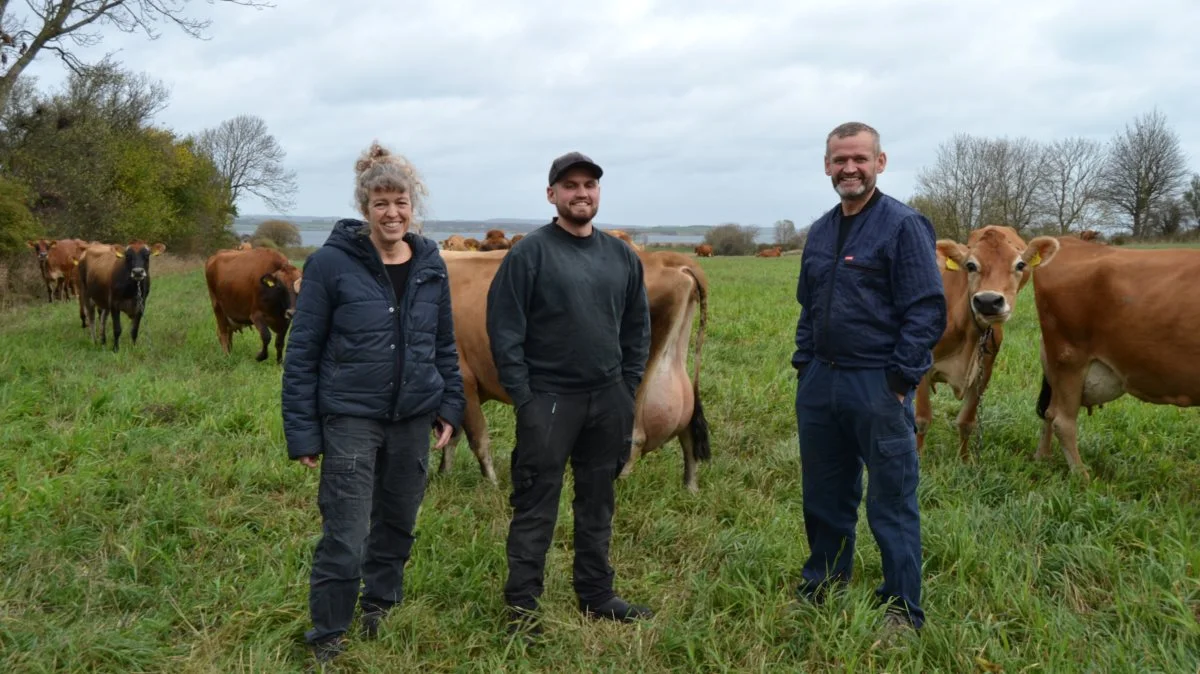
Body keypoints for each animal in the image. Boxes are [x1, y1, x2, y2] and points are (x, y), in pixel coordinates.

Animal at [436, 242, 710, 486]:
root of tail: (665, 258)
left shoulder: (465, 380)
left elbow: (477, 438)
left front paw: (490, 484)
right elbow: (452, 435)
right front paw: (444, 475)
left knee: (635, 437)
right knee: (688, 432)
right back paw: (690, 487)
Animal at [916, 225, 1060, 455]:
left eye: (1020, 264)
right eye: (970, 265)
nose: (988, 301)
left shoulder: (984, 371)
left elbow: (966, 422)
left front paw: (964, 460)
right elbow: (922, 420)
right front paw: (918, 457)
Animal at [1032, 236, 1200, 477]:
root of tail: (1069, 241)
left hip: (1057, 364)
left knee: (1048, 412)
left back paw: (1042, 459)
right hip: (1069, 359)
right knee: (1062, 421)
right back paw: (1082, 478)